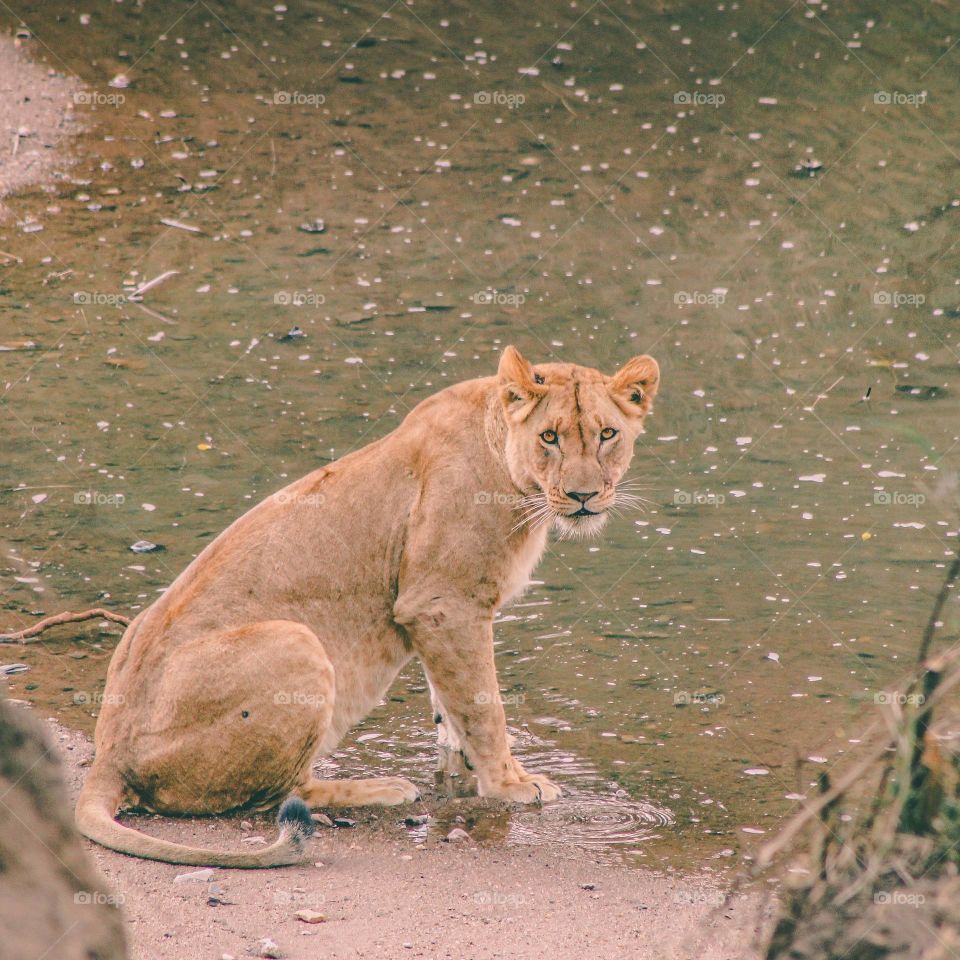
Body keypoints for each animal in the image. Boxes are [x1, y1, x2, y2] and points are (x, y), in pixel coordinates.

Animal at [75, 345, 661, 867]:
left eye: (607, 434)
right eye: (549, 437)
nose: (584, 496)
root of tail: (109, 755)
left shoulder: (437, 611)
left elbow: (452, 700)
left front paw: (464, 760)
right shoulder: (445, 600)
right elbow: (483, 703)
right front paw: (510, 783)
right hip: (297, 641)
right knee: (277, 797)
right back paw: (380, 788)